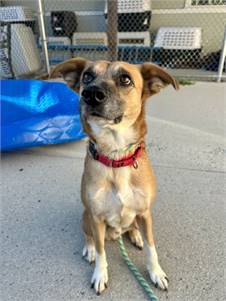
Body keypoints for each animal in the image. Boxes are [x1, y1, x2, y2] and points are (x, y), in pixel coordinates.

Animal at [48, 58, 179, 292]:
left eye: (125, 79)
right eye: (87, 76)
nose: (90, 94)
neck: (116, 156)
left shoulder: (145, 213)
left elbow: (151, 247)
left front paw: (156, 272)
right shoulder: (96, 217)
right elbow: (102, 252)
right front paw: (100, 274)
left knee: (133, 228)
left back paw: (135, 235)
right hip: (85, 216)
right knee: (89, 235)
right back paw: (90, 248)